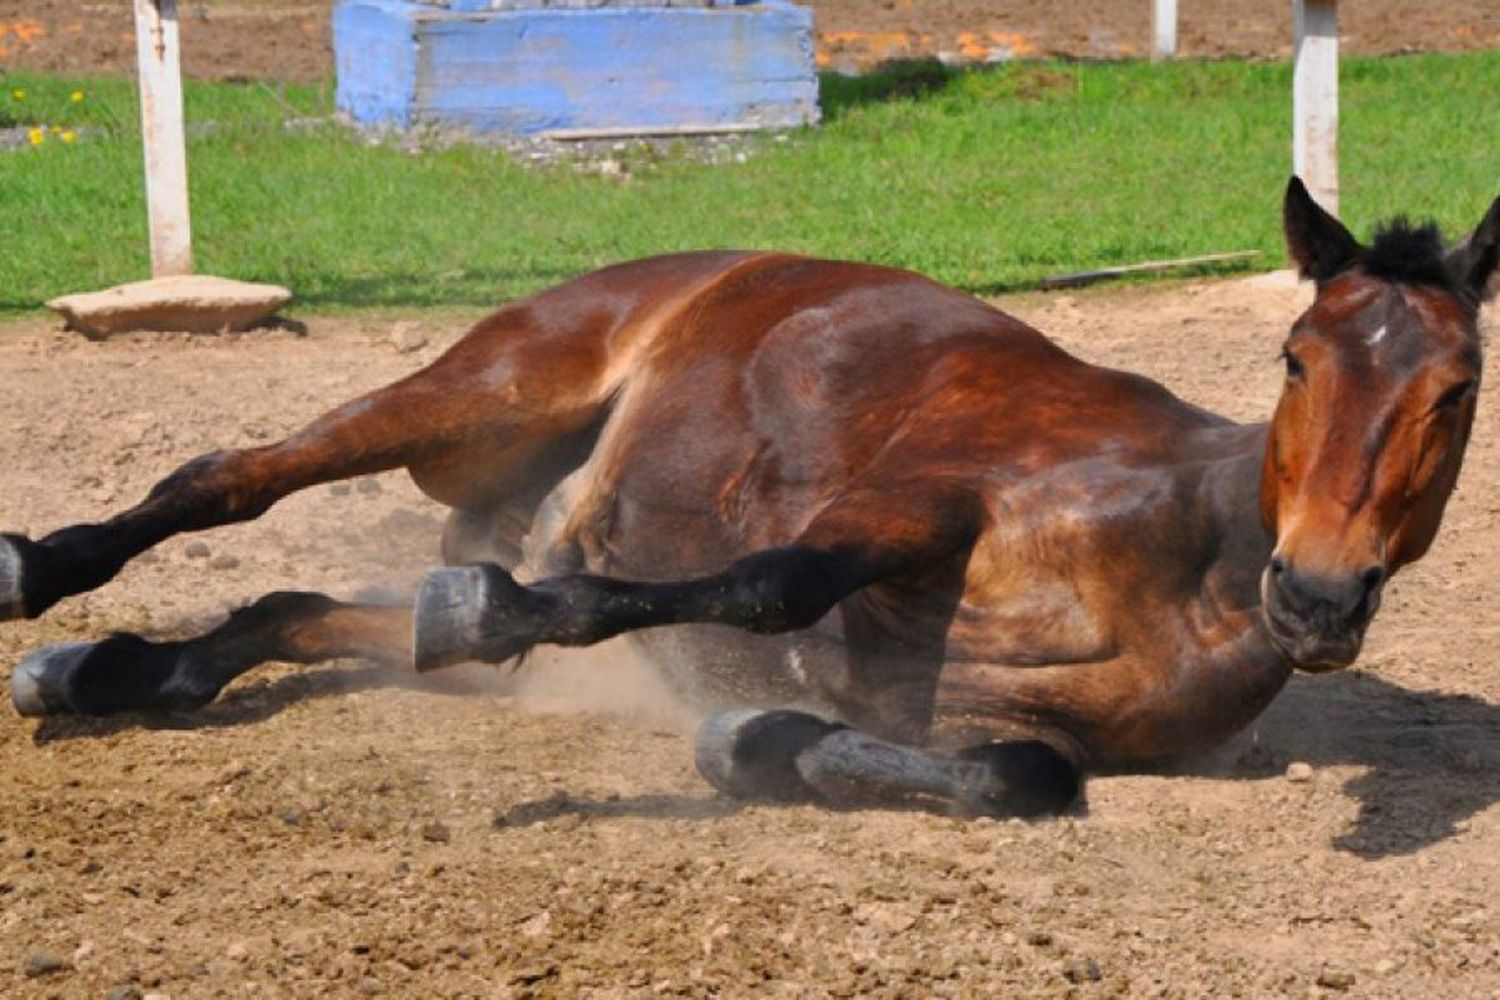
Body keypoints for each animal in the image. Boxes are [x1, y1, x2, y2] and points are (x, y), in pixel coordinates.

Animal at [2, 179, 1500, 815]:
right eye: (1296, 356)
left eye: (1459, 387)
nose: (1315, 598)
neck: (1186, 560)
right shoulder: (922, 500)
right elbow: (772, 580)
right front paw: (504, 609)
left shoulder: (1028, 728)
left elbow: (1018, 774)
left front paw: (764, 741)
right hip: (485, 399)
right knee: (231, 482)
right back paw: (44, 578)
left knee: (296, 605)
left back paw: (112, 671)